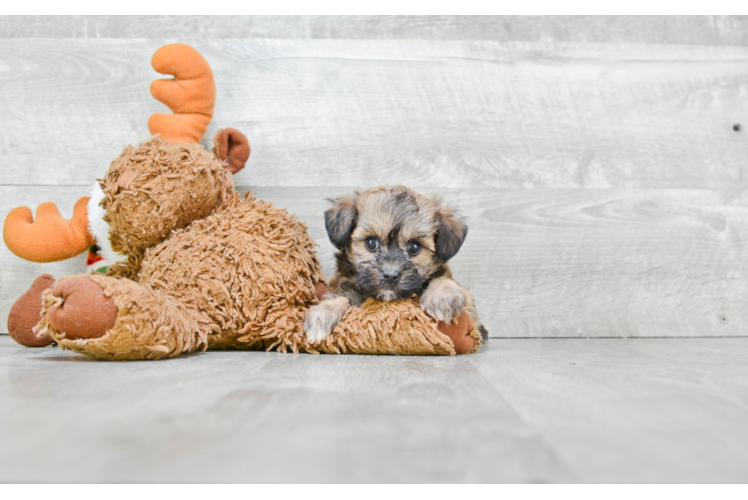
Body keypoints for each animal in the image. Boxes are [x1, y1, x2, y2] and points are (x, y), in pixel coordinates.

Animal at [302, 184, 486, 344]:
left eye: (414, 247)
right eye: (371, 243)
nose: (390, 275)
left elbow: (443, 279)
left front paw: (443, 296)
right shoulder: (343, 283)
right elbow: (338, 297)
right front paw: (323, 312)